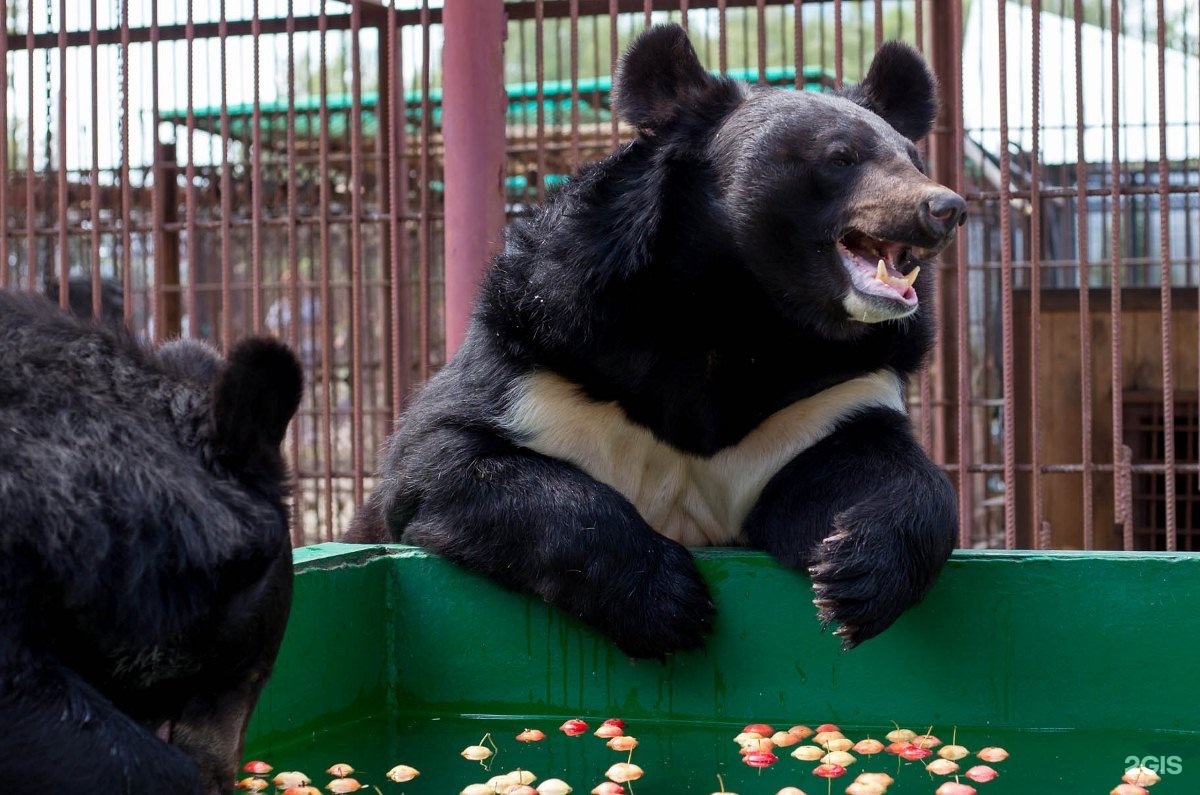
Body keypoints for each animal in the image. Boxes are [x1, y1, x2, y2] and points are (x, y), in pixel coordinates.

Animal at [348, 24, 964, 658]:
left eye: (913, 157)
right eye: (840, 158)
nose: (945, 207)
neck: (745, 313)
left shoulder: (833, 393)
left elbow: (892, 471)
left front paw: (851, 579)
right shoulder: (542, 351)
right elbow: (443, 461)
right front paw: (669, 602)